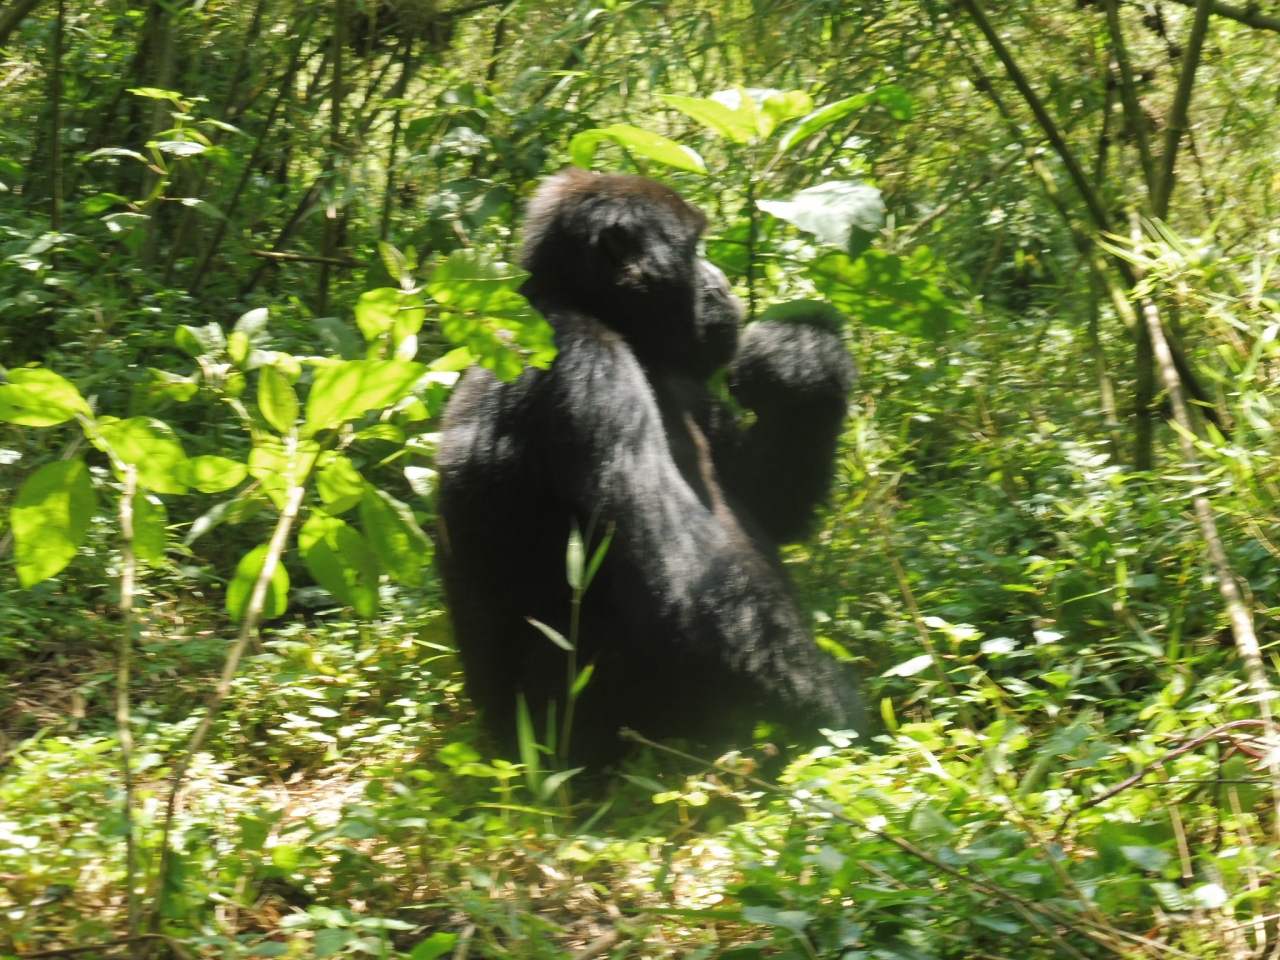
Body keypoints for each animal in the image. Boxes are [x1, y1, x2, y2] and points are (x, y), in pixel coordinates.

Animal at [435, 165, 865, 768]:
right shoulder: (586, 364)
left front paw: (804, 356)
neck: (589, 306)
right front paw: (840, 720)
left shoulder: (685, 379)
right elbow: (684, 589)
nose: (720, 282)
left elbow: (766, 504)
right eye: (694, 248)